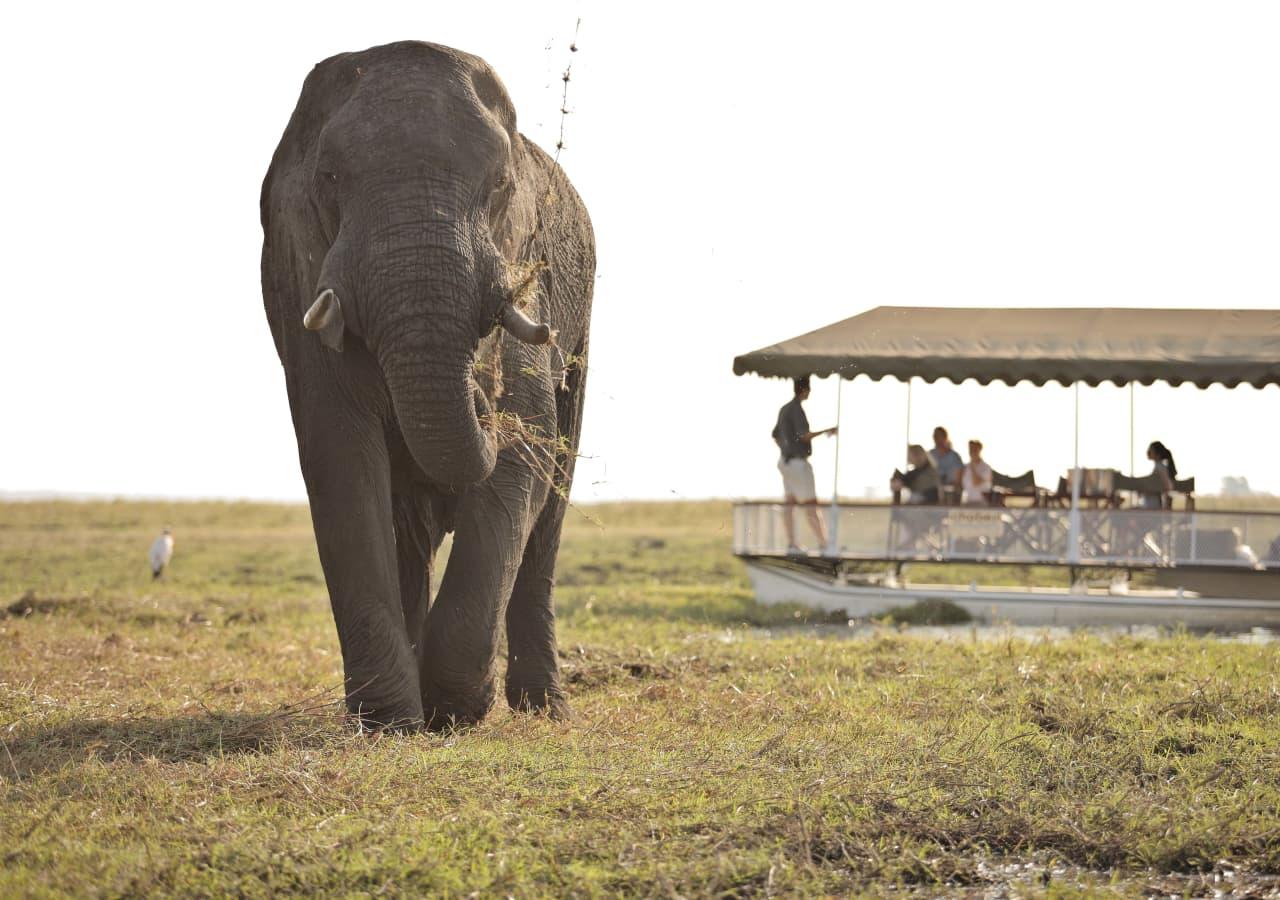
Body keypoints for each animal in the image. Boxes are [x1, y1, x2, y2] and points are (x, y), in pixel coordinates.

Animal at [259, 41, 595, 730]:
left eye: (500, 184)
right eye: (329, 178)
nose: (478, 391)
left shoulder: (530, 282)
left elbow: (525, 448)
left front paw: (456, 708)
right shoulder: (296, 272)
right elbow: (340, 455)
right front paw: (390, 722)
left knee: (552, 500)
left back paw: (545, 710)